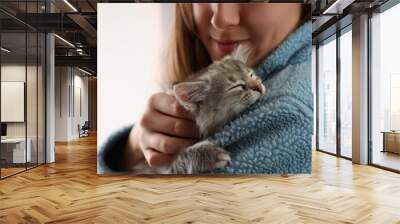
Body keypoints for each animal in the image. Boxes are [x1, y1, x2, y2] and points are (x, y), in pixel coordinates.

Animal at [133, 45, 268, 175]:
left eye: (251, 75)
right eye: (237, 86)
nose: (259, 86)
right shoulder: (160, 168)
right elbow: (181, 158)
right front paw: (209, 155)